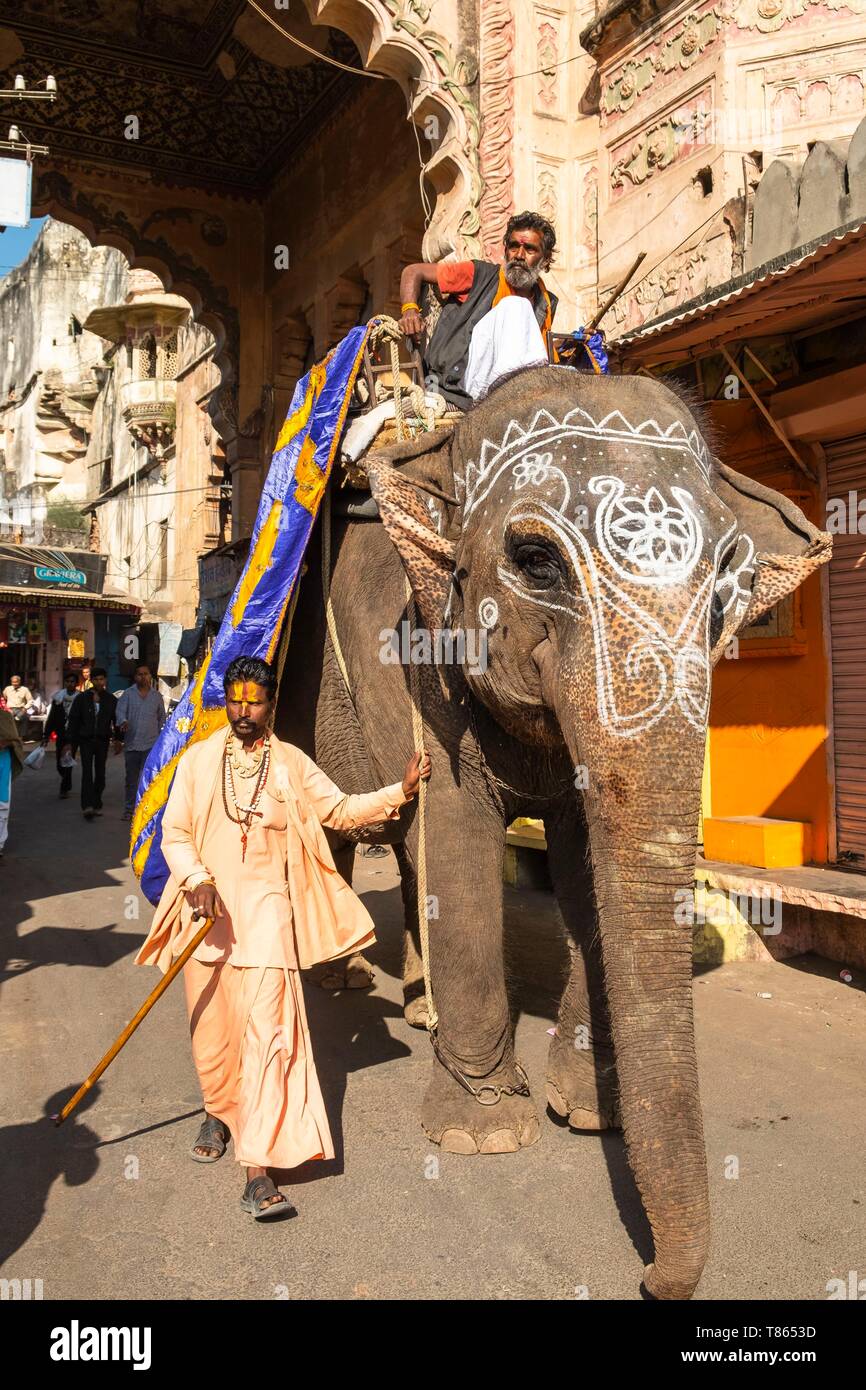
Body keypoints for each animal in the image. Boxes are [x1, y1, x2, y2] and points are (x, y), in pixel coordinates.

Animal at [279, 364, 834, 1295]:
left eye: (732, 575)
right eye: (535, 560)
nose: (651, 1279)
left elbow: (584, 869)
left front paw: (590, 1116)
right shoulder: (421, 659)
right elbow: (458, 836)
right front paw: (481, 1134)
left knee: (403, 850)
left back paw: (419, 1010)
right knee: (345, 830)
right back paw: (347, 981)